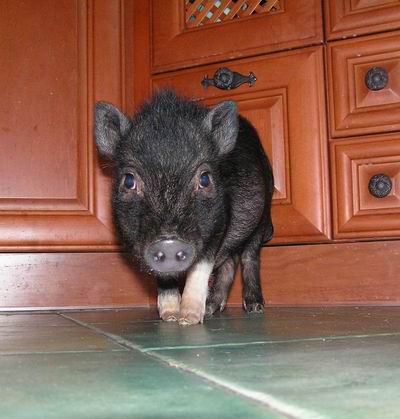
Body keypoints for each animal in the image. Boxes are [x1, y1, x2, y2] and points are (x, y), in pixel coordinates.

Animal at [94, 90, 274, 325]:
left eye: (205, 178)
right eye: (129, 180)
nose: (169, 242)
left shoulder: (219, 223)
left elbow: (201, 267)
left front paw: (188, 319)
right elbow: (165, 277)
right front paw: (170, 316)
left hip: (261, 217)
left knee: (249, 257)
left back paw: (254, 308)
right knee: (229, 263)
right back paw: (212, 308)